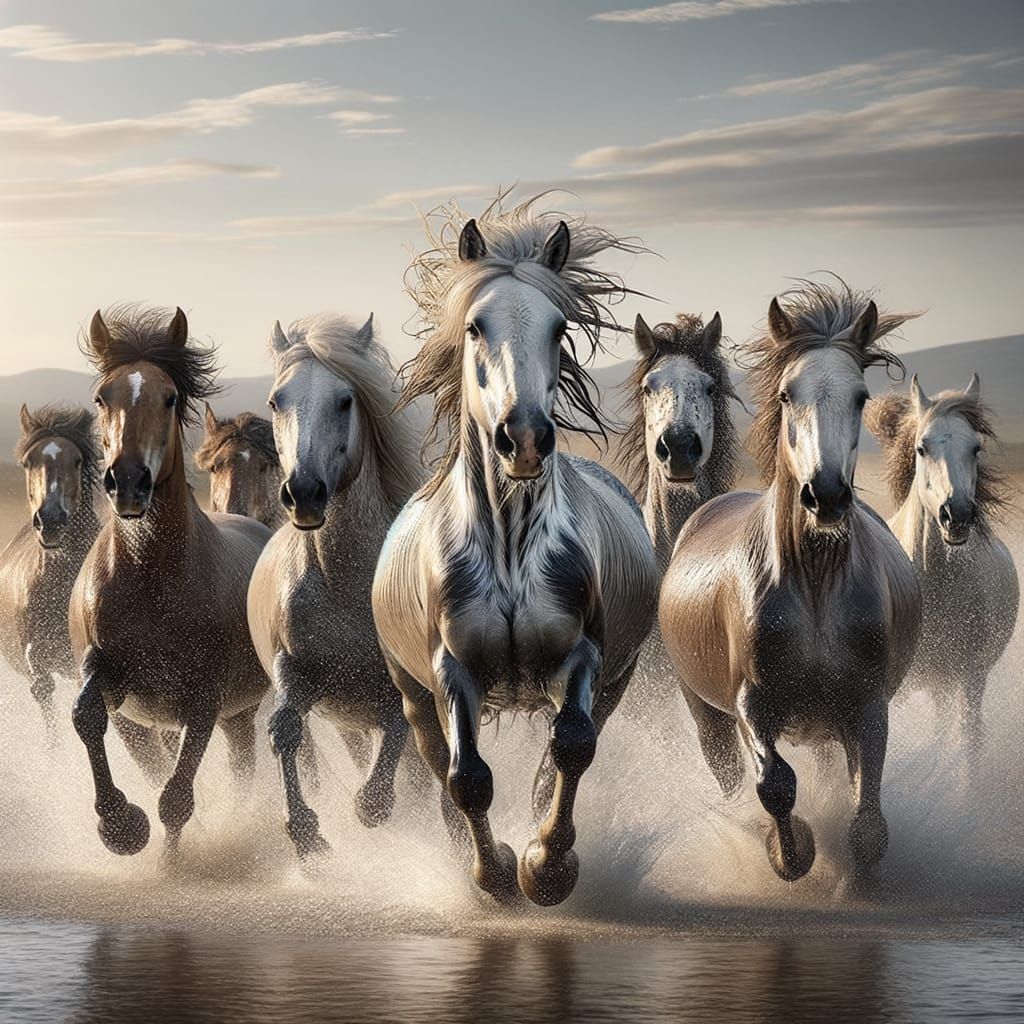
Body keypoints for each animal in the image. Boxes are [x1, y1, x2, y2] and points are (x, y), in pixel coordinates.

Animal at [69, 305, 271, 855]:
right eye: (102, 397)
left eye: (171, 397)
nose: (128, 481)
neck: (151, 579)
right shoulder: (107, 677)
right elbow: (85, 715)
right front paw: (119, 825)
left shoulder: (204, 701)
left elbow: (176, 798)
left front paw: (169, 860)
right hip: (146, 722)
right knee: (154, 760)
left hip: (240, 713)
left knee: (241, 771)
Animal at [247, 313, 426, 857]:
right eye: (276, 400)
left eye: (345, 400)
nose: (304, 492)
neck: (347, 589)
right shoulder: (296, 670)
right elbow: (284, 729)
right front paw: (305, 831)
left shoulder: (399, 689)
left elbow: (399, 727)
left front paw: (372, 805)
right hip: (345, 719)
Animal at [372, 196, 658, 906]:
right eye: (475, 326)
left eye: (558, 328)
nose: (524, 439)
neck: (510, 547)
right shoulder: (450, 670)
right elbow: (467, 779)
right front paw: (495, 874)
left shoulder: (586, 656)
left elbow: (573, 747)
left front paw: (546, 867)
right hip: (411, 694)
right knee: (438, 765)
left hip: (618, 676)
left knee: (568, 745)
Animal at [659, 280, 922, 885]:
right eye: (785, 395)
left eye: (861, 397)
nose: (825, 496)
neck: (816, 589)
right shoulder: (752, 705)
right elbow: (775, 785)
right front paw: (791, 852)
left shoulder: (866, 705)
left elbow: (867, 819)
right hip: (707, 713)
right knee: (733, 774)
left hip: (823, 724)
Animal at [866, 375, 1018, 770]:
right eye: (922, 448)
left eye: (976, 448)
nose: (958, 514)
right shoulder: (898, 687)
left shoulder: (970, 677)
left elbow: (968, 745)